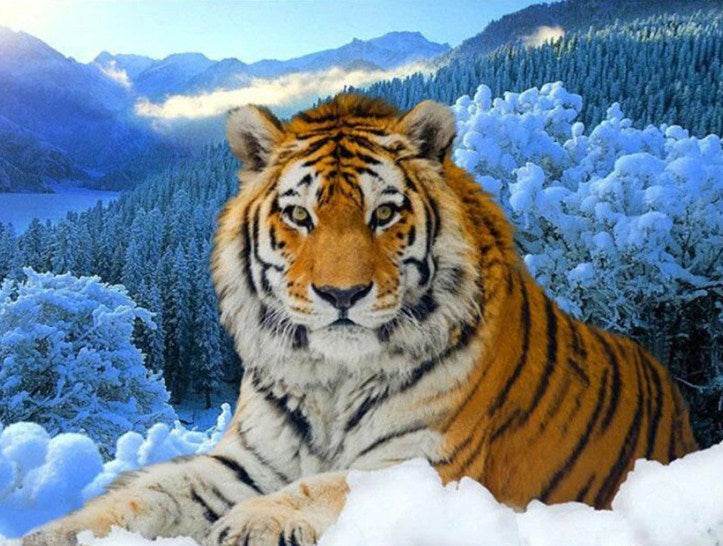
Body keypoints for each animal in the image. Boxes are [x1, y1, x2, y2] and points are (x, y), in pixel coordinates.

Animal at [24, 94, 697, 546]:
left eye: (384, 214)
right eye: (299, 215)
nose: (341, 294)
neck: (332, 378)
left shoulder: (425, 463)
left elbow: (329, 484)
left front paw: (253, 522)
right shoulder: (246, 463)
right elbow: (147, 494)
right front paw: (53, 532)